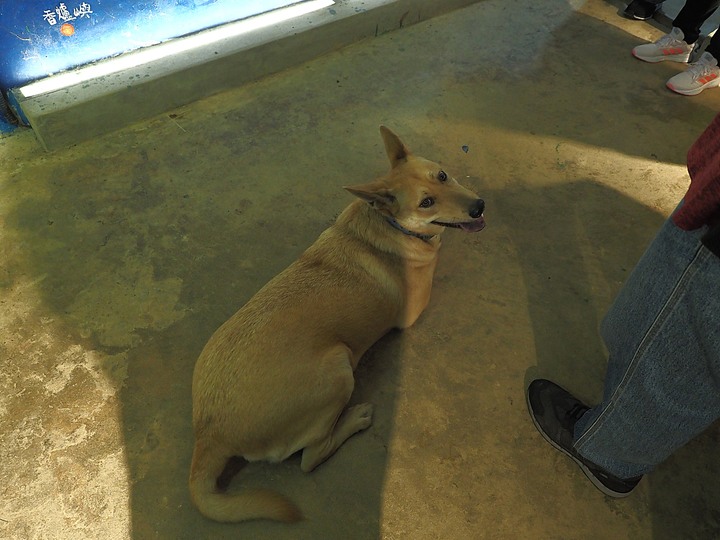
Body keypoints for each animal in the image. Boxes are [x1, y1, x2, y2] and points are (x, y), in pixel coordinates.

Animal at [188, 126, 486, 524]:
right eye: (426, 203)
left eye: (441, 175)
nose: (479, 206)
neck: (388, 224)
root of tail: (210, 433)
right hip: (339, 367)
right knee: (310, 458)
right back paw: (354, 419)